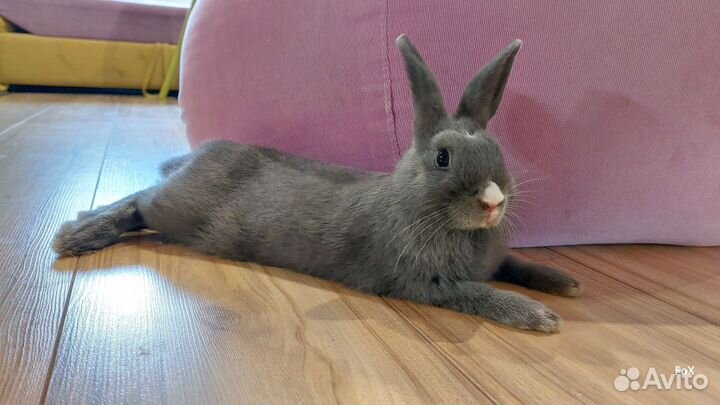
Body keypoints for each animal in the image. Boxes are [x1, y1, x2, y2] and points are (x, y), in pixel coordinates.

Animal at [52, 35, 581, 333]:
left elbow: (516, 264)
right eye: (442, 158)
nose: (493, 201)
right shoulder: (425, 282)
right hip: (177, 209)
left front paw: (565, 283)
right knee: (139, 201)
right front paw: (541, 317)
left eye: (497, 150)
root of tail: (195, 158)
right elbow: (478, 294)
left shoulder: (493, 260)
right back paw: (76, 234)